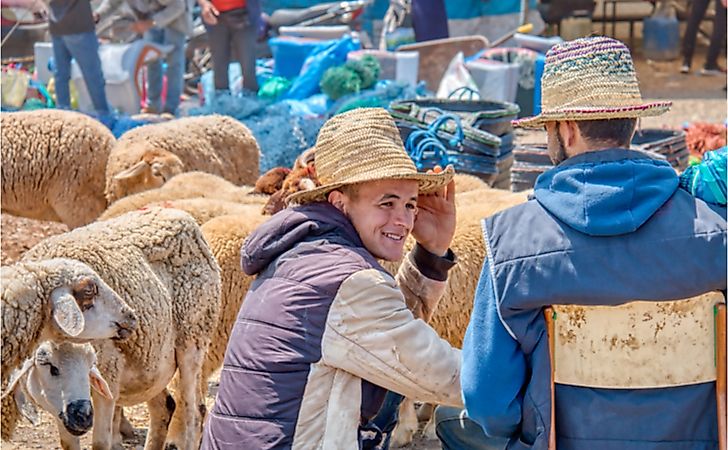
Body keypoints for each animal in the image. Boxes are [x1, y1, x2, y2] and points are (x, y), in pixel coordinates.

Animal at [22, 208, 222, 450]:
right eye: (49, 367)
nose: (81, 418)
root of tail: (180, 215)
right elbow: (68, 443)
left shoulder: (108, 373)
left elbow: (100, 442)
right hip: (152, 360)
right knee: (165, 406)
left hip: (193, 338)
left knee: (193, 412)